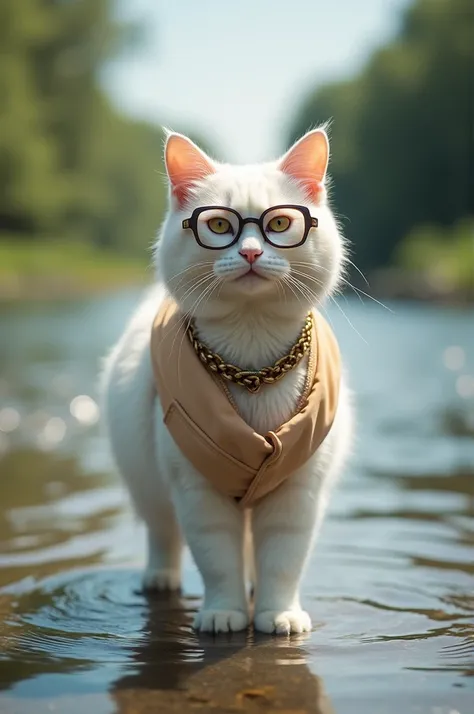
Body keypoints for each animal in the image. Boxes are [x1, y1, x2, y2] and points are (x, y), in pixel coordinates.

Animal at [100, 128, 352, 636]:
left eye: (280, 223)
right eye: (218, 226)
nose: (251, 252)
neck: (252, 358)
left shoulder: (300, 491)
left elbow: (284, 558)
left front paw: (279, 615)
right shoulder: (196, 490)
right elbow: (215, 556)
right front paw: (223, 613)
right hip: (146, 481)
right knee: (162, 532)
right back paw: (160, 578)